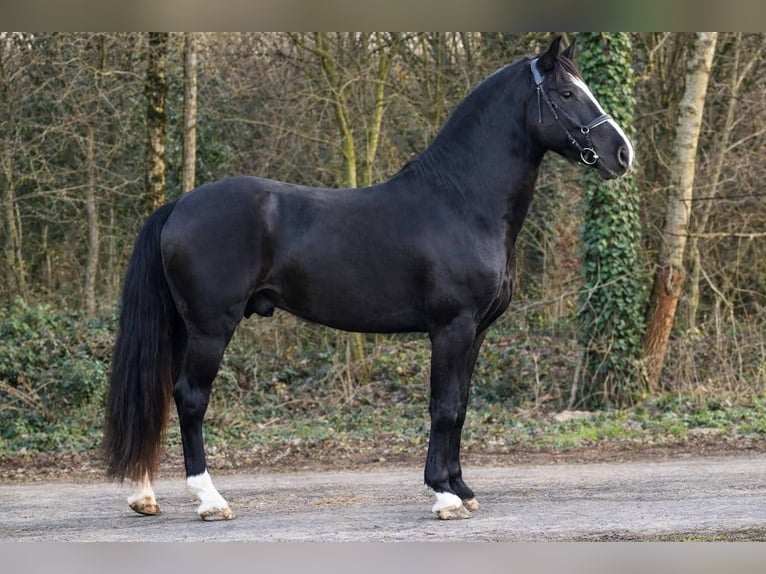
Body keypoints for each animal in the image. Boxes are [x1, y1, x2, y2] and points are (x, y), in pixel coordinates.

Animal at [104, 36, 633, 521]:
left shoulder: (476, 332)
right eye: (566, 93)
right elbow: (443, 406)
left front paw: (462, 489)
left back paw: (143, 495)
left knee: (159, 395)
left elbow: (460, 406)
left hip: (183, 327)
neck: (461, 201)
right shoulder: (451, 327)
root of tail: (178, 205)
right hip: (211, 329)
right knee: (191, 399)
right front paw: (443, 495)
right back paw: (210, 499)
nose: (622, 154)